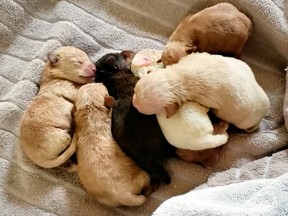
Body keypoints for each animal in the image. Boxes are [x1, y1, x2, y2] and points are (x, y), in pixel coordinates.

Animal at [133, 52, 270, 132]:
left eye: (141, 108)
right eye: (134, 92)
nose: (133, 102)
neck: (178, 79)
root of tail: (263, 114)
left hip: (244, 121)